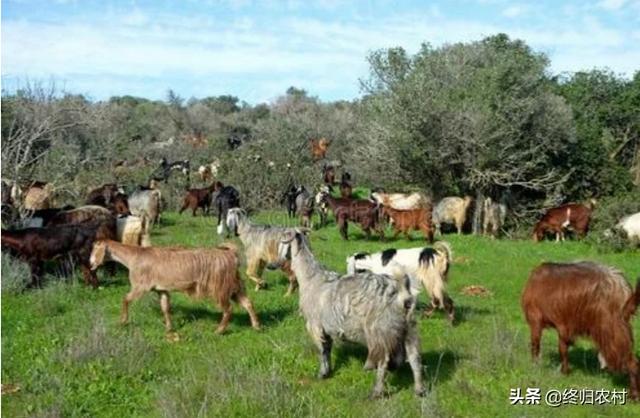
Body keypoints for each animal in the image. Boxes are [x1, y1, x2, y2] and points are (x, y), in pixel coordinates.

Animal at [89, 240, 260, 334]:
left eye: (95, 249)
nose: (91, 264)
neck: (133, 257)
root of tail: (231, 254)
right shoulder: (161, 289)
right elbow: (165, 307)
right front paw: (170, 328)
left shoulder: (140, 286)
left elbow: (125, 299)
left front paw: (123, 321)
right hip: (235, 285)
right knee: (248, 303)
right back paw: (256, 326)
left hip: (220, 286)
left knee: (228, 309)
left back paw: (219, 330)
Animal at [276, 232, 422, 398]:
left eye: (281, 242)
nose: (275, 263)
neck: (311, 278)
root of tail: (401, 292)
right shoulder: (327, 328)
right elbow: (328, 348)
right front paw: (328, 371)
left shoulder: (315, 325)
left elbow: (322, 350)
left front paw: (322, 374)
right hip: (409, 328)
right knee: (414, 357)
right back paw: (419, 390)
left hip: (379, 330)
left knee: (383, 359)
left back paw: (377, 391)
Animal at [520, 262, 640, 400]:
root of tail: (621, 285)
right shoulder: (563, 325)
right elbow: (563, 349)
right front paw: (565, 372)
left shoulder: (535, 319)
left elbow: (536, 345)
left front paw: (535, 366)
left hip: (611, 331)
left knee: (633, 363)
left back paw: (634, 394)